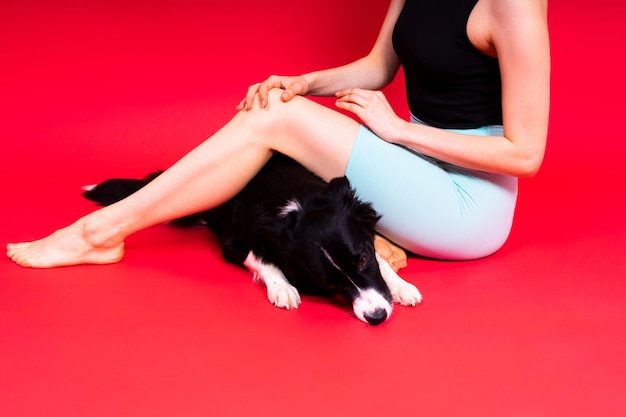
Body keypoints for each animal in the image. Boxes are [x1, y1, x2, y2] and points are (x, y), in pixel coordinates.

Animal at [83, 153, 422, 324]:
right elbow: (262, 258)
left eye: (362, 259)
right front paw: (282, 287)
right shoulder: (233, 243)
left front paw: (401, 285)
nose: (377, 316)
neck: (297, 203)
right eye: (328, 284)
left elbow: (378, 258)